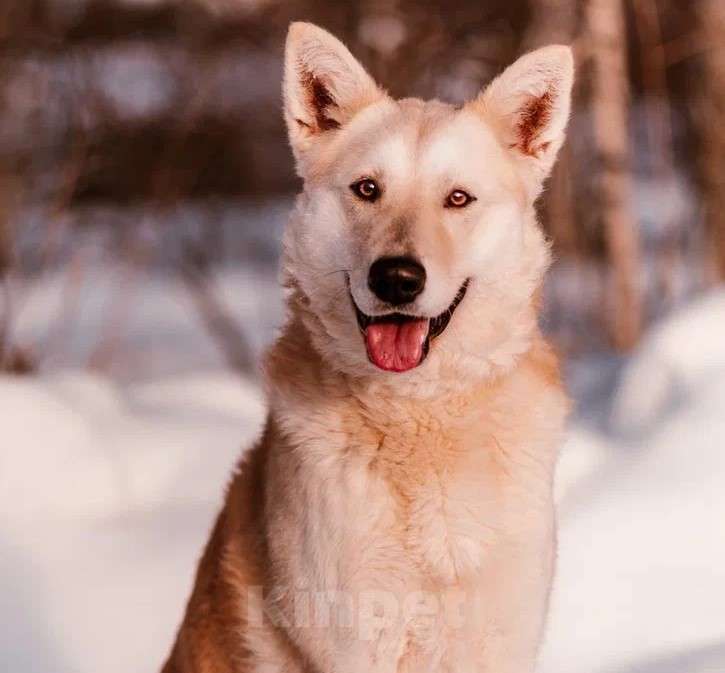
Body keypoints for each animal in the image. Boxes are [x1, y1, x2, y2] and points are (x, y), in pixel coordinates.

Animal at [163, 21, 572, 672]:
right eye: (367, 189)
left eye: (458, 199)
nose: (397, 279)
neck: (419, 420)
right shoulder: (355, 640)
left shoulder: (499, 640)